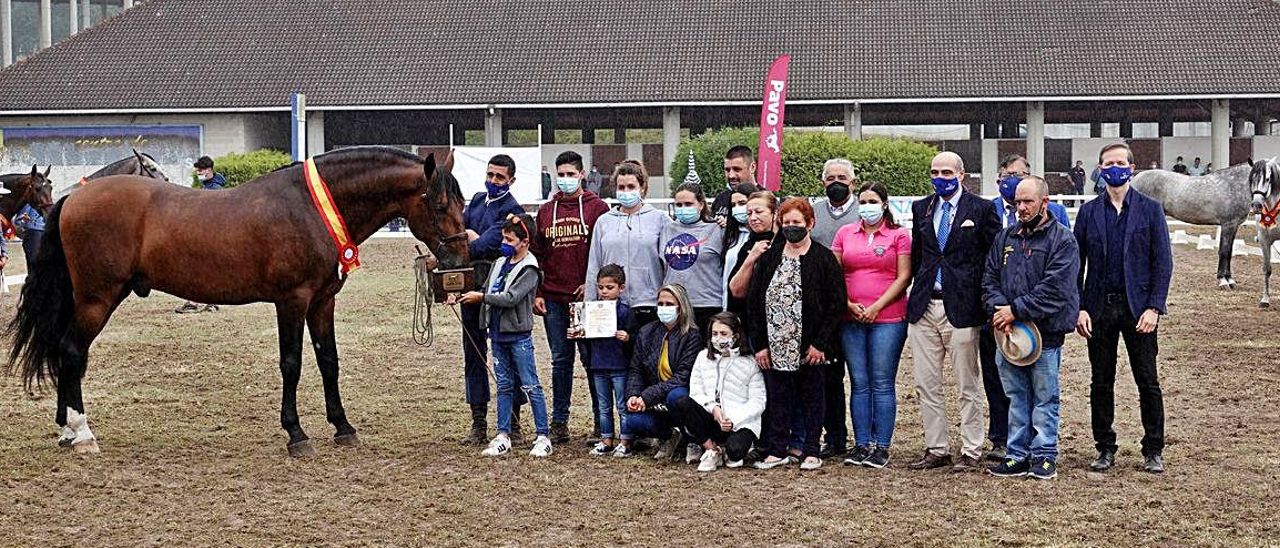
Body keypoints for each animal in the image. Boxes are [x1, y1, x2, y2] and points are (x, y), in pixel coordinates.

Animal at [7, 146, 468, 458]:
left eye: (463, 202)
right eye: (440, 204)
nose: (459, 259)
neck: (309, 208)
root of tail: (72, 199)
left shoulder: (323, 302)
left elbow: (329, 361)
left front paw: (343, 427)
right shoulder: (292, 301)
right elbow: (292, 364)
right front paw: (296, 435)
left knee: (65, 354)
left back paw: (67, 430)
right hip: (97, 299)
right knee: (71, 353)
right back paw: (82, 433)